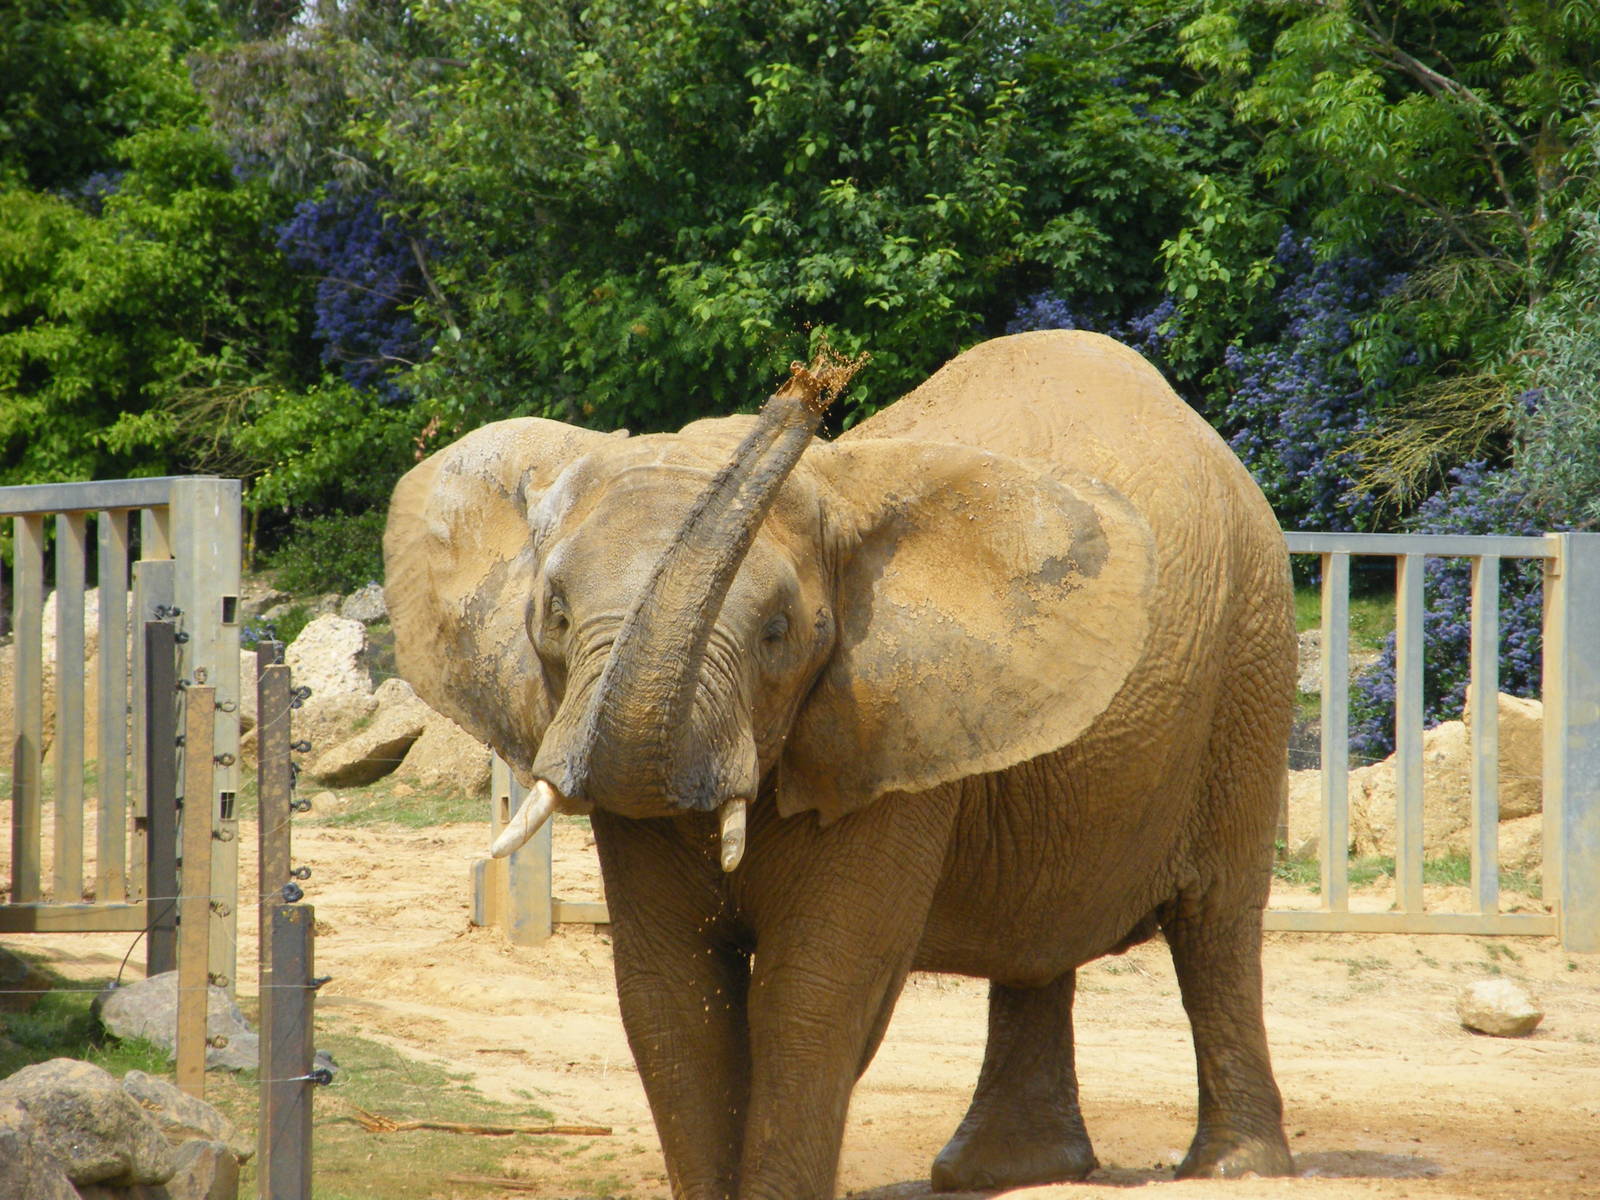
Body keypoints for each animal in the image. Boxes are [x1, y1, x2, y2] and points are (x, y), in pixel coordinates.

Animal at [383, 329, 1297, 1199]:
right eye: (557, 614)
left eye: (779, 632)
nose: (811, 383)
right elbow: (668, 992)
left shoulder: (885, 738)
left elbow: (814, 989)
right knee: (1038, 944)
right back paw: (1002, 1174)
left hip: (1251, 659)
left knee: (1216, 925)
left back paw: (1233, 1169)